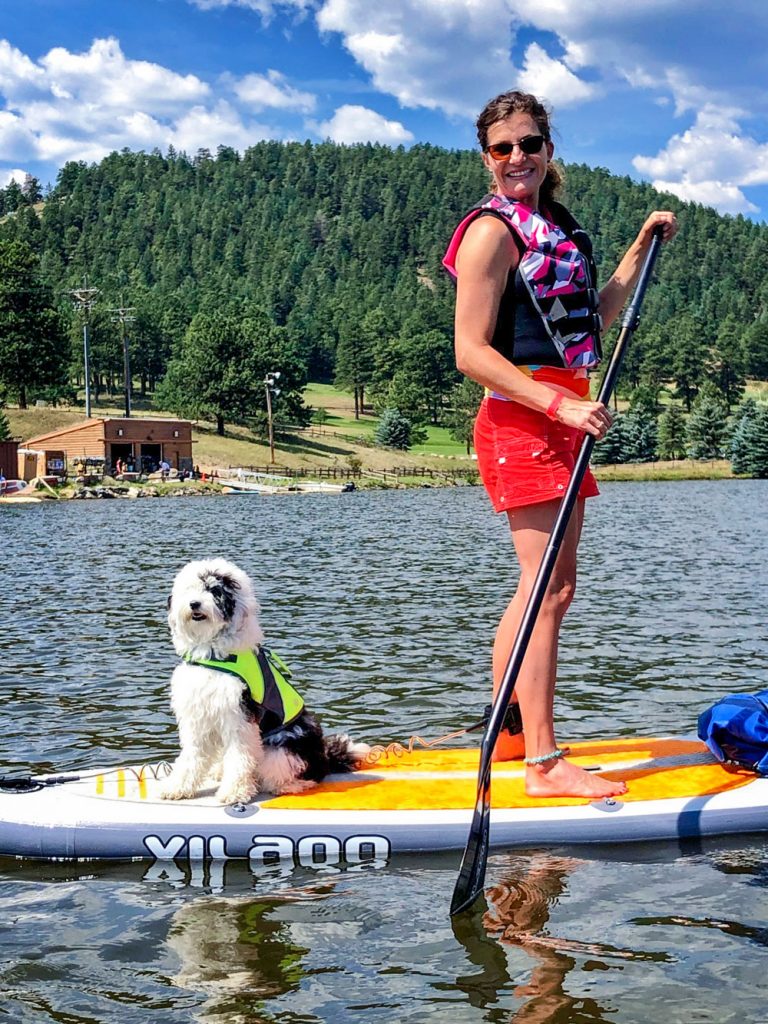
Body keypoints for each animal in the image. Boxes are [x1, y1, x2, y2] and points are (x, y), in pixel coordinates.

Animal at [159, 561, 370, 806]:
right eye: (189, 589)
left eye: (214, 590)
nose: (194, 604)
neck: (213, 655)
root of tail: (325, 758)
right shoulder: (197, 715)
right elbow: (191, 755)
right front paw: (177, 787)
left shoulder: (239, 717)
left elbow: (239, 756)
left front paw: (234, 792)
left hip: (282, 747)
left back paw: (291, 785)